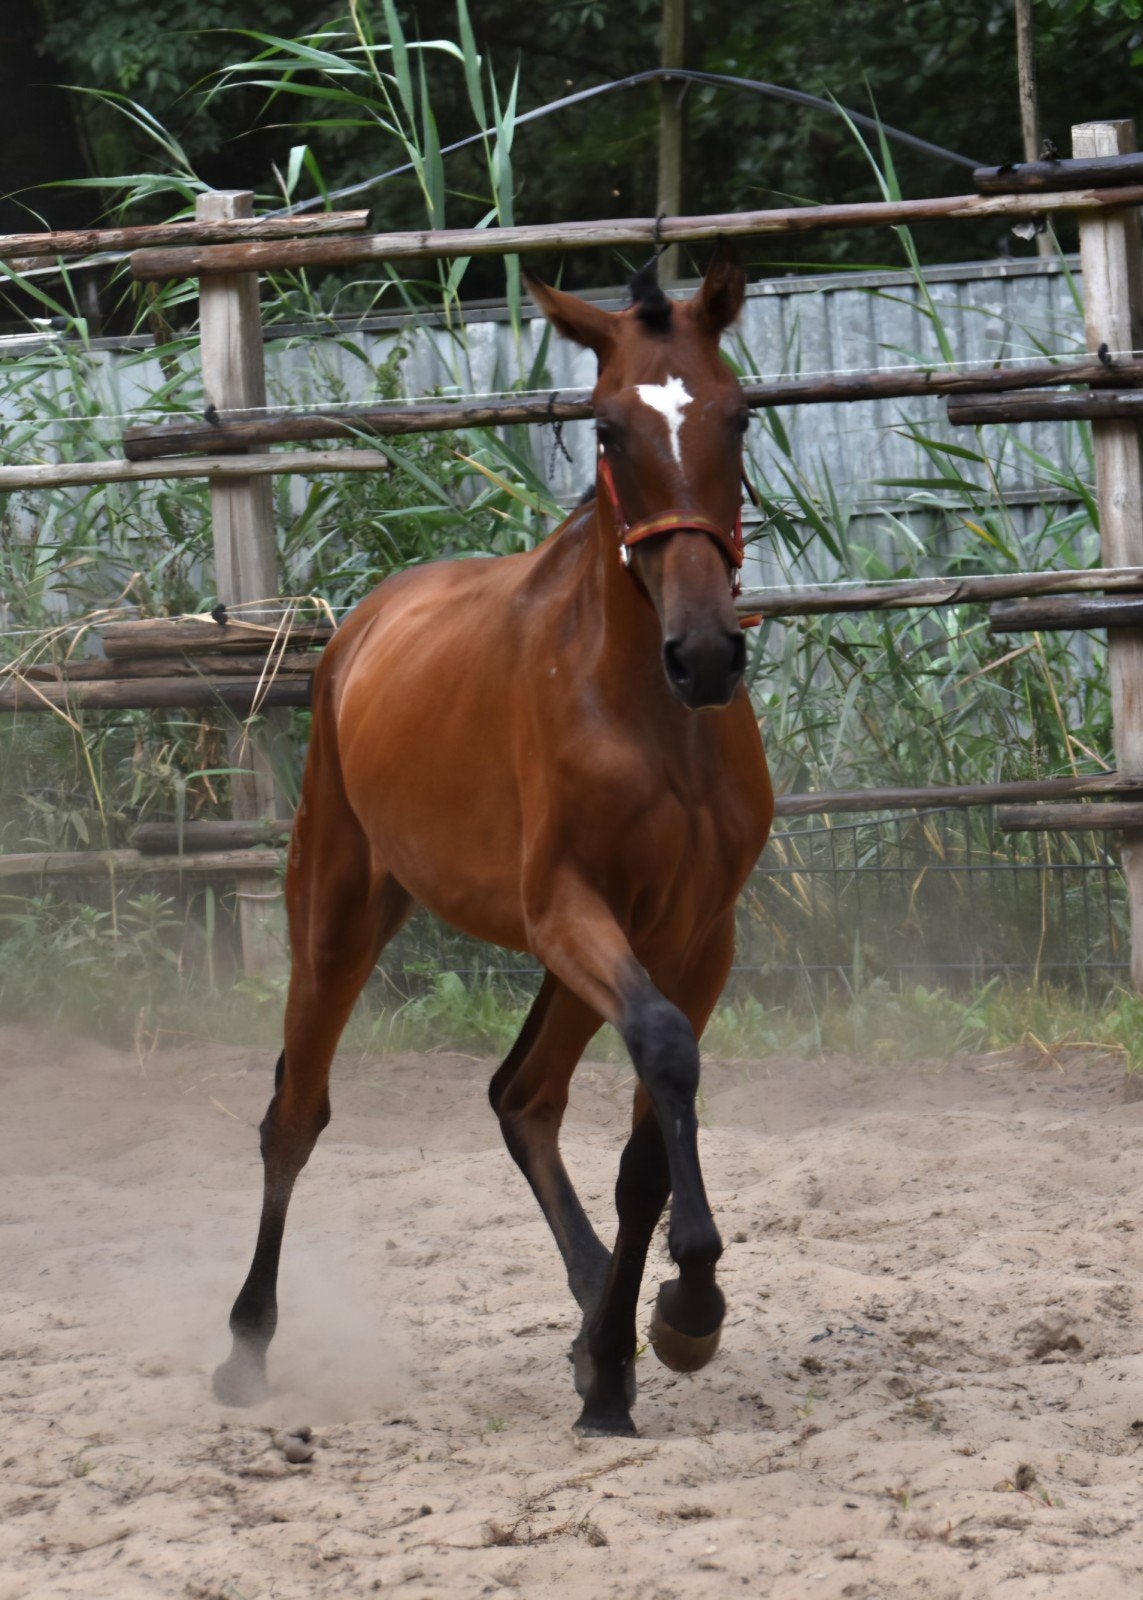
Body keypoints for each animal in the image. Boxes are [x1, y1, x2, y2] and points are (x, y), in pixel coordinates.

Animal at [212, 244, 774, 1437]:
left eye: (739, 413)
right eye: (607, 427)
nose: (705, 654)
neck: (645, 711)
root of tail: (363, 628)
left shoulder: (697, 934)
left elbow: (648, 1138)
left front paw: (645, 1340)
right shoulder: (567, 909)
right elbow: (664, 1056)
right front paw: (682, 1311)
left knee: (523, 1098)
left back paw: (593, 1327)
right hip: (337, 915)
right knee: (296, 1115)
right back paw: (246, 1347)